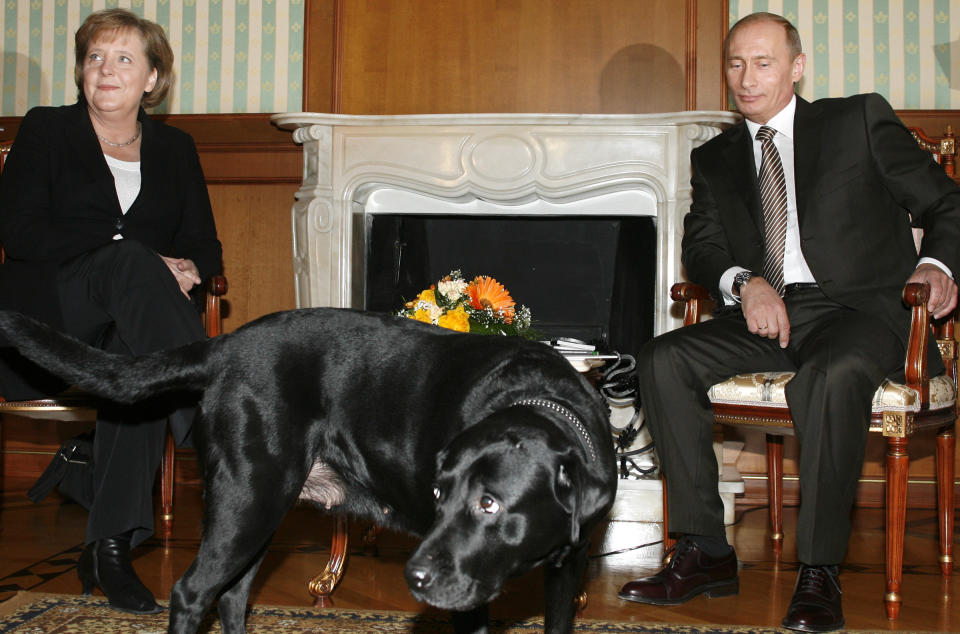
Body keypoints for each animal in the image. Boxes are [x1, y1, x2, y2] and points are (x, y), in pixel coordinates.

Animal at [0, 308, 616, 628]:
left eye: (489, 503)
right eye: (440, 495)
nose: (413, 577)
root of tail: (224, 345)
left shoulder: (568, 568)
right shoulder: (465, 597)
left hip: (257, 516)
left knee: (232, 596)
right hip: (248, 503)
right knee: (192, 592)